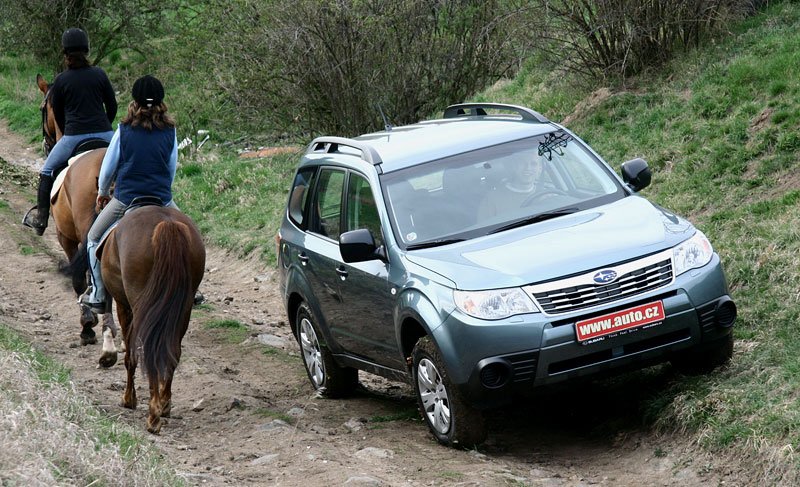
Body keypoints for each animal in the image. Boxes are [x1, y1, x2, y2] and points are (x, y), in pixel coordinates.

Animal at [99, 206, 205, 434]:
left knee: (146, 350)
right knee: (172, 352)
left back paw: (152, 416)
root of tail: (167, 224)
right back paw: (163, 405)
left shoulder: (123, 305)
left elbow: (130, 354)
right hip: (182, 309)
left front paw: (129, 399)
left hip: (139, 307)